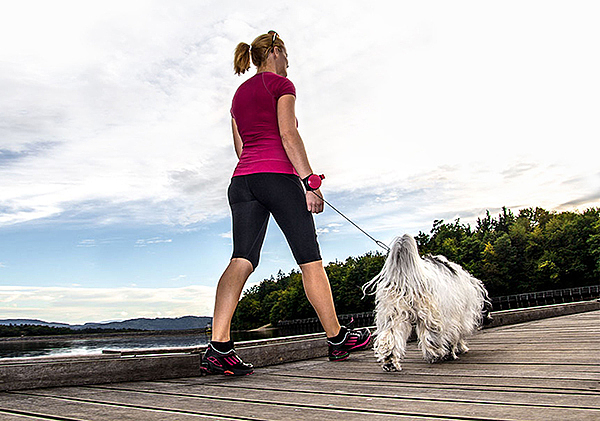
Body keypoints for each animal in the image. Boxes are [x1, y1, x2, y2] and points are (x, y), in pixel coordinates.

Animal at [364, 235, 490, 370]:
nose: (490, 319)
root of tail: (406, 275)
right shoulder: (457, 316)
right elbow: (456, 335)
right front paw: (459, 348)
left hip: (393, 312)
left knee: (389, 337)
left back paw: (390, 362)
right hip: (432, 315)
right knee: (434, 336)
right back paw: (440, 354)